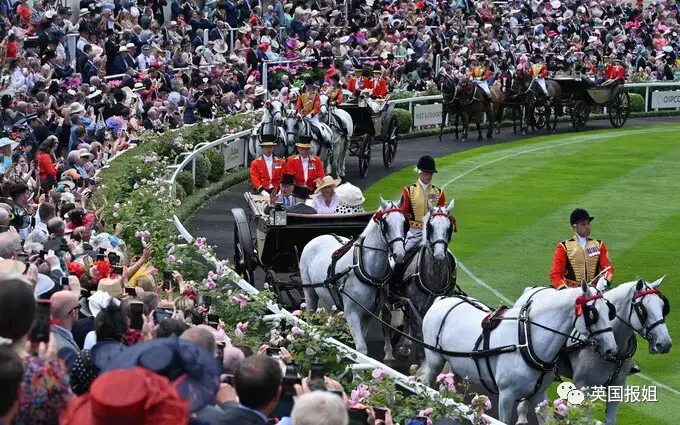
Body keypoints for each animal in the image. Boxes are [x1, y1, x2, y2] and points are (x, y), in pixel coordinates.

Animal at [298, 196, 406, 354]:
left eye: (405, 222)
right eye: (385, 224)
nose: (399, 254)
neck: (365, 269)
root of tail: (318, 237)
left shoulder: (368, 315)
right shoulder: (352, 314)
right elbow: (361, 349)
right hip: (310, 292)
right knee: (309, 319)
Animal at [382, 200, 456, 364]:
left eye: (449, 228)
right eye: (430, 226)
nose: (439, 255)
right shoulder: (416, 307)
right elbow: (419, 338)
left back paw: (404, 345)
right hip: (387, 296)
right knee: (386, 317)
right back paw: (389, 352)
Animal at [418, 280, 620, 422]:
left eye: (609, 311)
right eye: (593, 314)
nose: (612, 349)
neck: (527, 343)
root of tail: (442, 299)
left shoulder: (540, 394)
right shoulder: (506, 395)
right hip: (435, 360)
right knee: (427, 386)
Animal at [516, 278, 672, 424]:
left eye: (663, 306)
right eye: (642, 310)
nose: (665, 343)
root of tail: (533, 289)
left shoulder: (617, 386)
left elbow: (610, 420)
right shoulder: (583, 386)